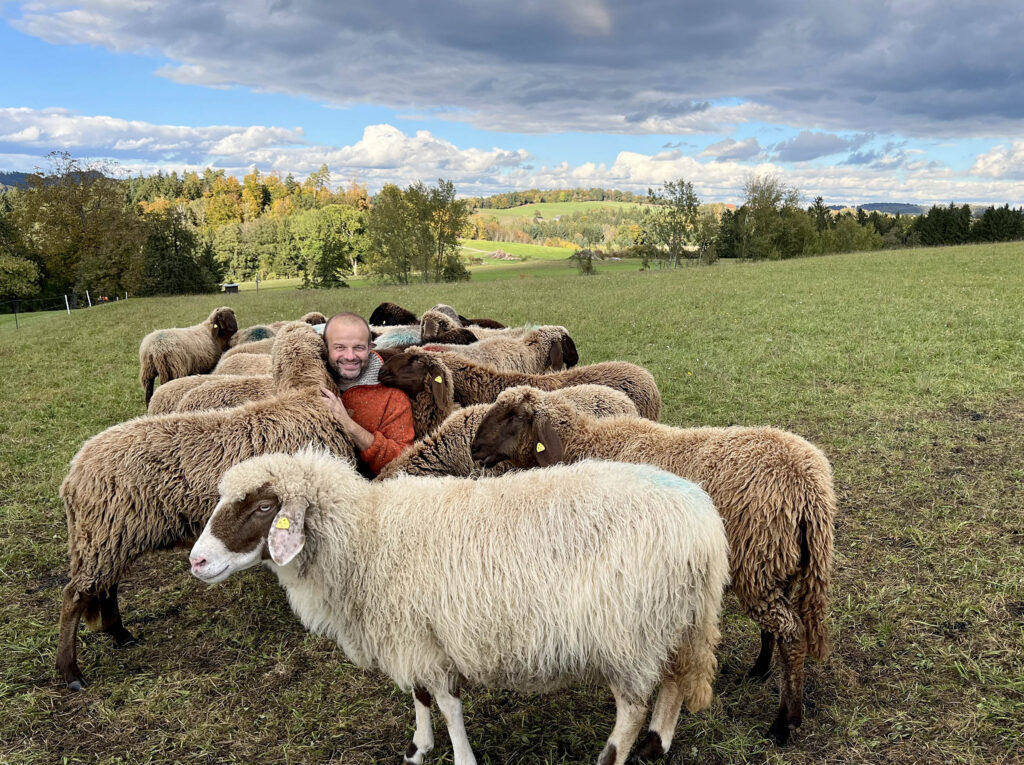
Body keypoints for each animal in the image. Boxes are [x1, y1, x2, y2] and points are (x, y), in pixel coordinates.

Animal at [59, 325, 358, 692]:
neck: (303, 394)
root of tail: (75, 471)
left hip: (111, 535)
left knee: (105, 587)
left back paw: (120, 634)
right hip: (104, 534)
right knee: (74, 596)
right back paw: (71, 672)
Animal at [190, 448, 729, 765]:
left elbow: (448, 704)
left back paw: (613, 756)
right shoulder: (413, 635)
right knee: (674, 684)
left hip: (628, 631)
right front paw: (418, 748)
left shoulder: (419, 637)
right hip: (672, 618)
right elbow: (422, 697)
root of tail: (703, 522)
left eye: (264, 507)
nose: (197, 561)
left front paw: (459, 755)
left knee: (634, 707)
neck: (366, 535)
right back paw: (657, 744)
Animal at [468, 389, 835, 749]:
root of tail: (809, 486)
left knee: (791, 633)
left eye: (513, 415)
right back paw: (760, 670)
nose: (474, 448)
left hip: (757, 560)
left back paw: (785, 722)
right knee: (777, 629)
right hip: (776, 566)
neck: (586, 443)